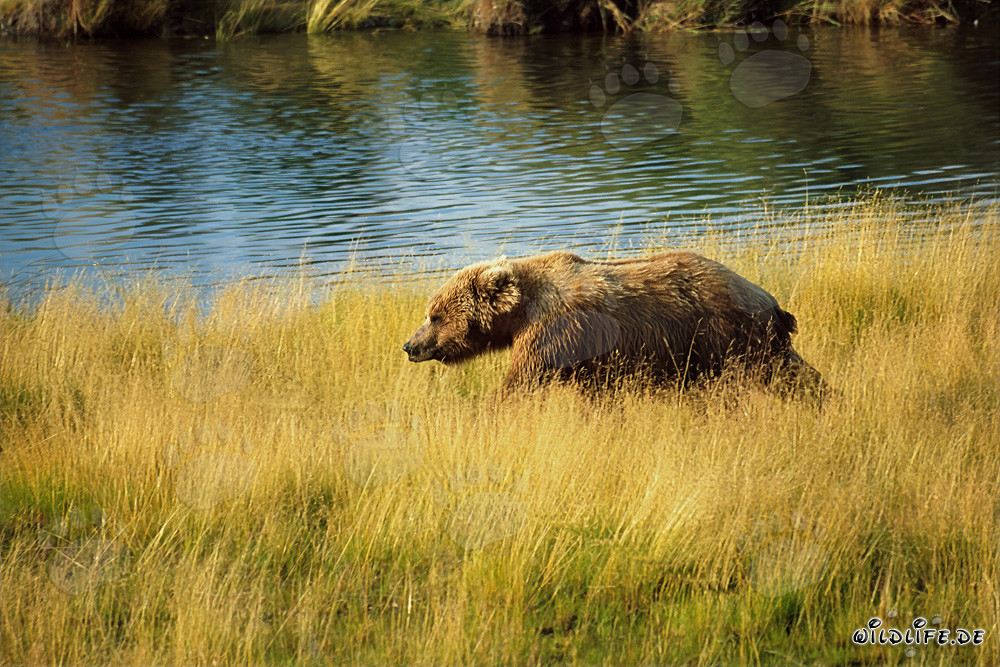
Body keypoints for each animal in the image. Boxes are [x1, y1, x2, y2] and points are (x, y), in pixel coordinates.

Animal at [402, 250, 824, 395]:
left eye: (435, 315)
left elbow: (522, 384)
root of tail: (769, 300)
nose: (409, 345)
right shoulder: (590, 360)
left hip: (726, 336)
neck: (520, 314)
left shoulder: (556, 335)